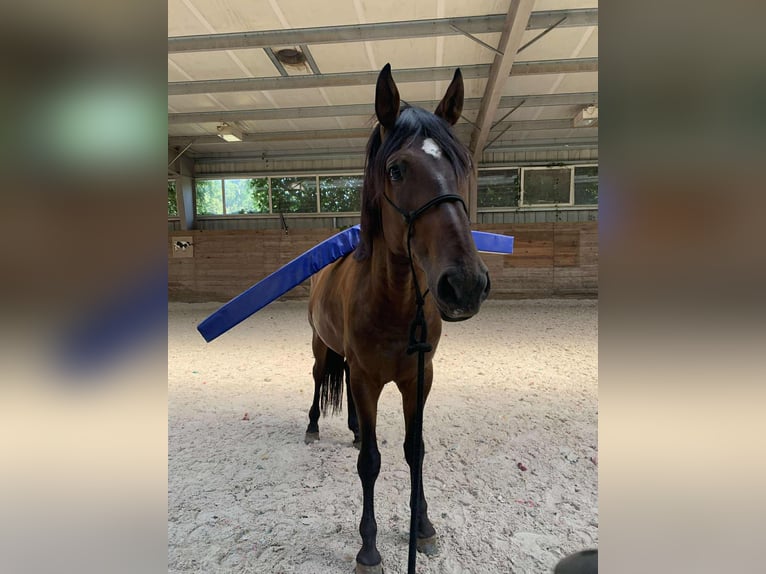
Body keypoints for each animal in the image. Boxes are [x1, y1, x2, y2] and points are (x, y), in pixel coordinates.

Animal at [305, 63, 491, 573]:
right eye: (396, 169)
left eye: (462, 166)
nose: (465, 284)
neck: (393, 303)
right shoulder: (367, 379)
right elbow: (371, 462)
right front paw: (368, 548)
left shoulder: (417, 379)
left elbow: (415, 450)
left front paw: (422, 526)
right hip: (321, 348)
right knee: (318, 379)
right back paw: (312, 426)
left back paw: (350, 429)